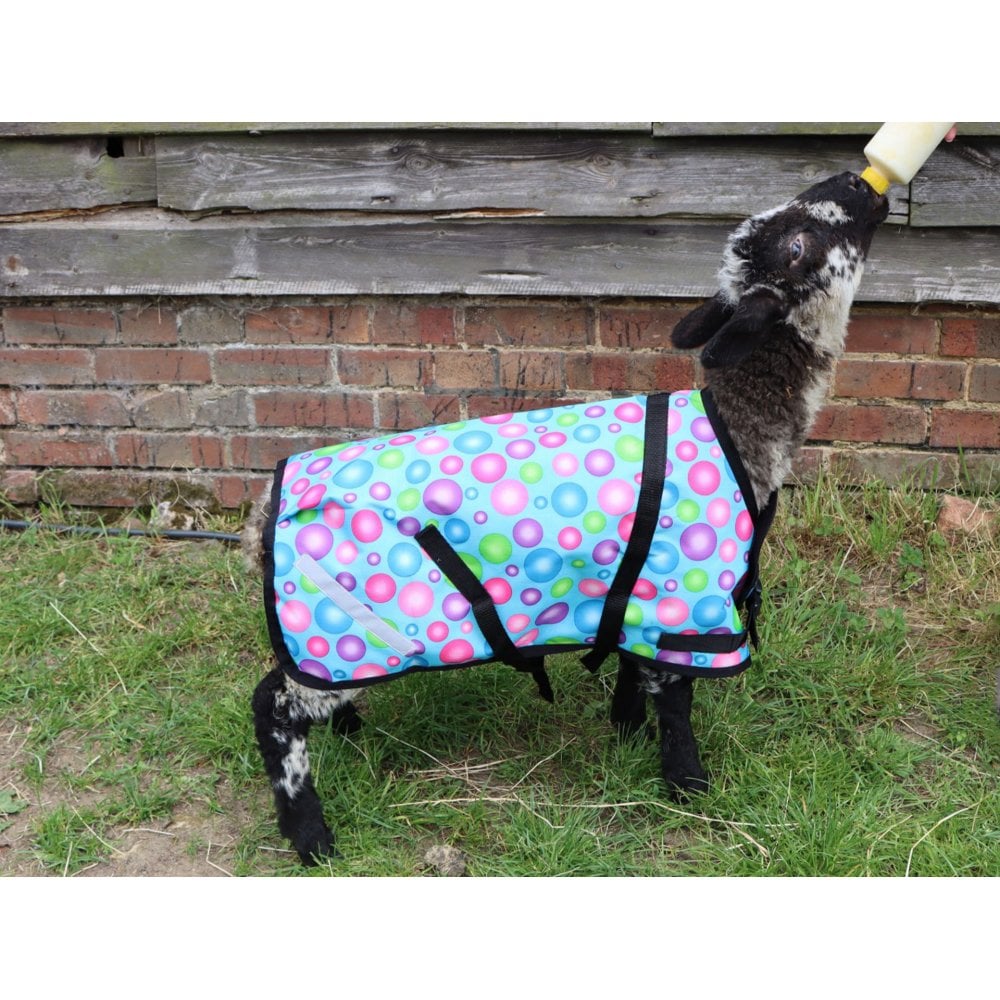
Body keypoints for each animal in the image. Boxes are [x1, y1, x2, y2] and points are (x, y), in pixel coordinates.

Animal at [249, 170, 889, 865]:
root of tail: (264, 512)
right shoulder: (689, 606)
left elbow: (637, 672)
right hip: (353, 622)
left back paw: (351, 731)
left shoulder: (643, 598)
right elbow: (678, 702)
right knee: (273, 707)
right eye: (799, 244)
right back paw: (311, 836)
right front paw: (688, 785)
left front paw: (629, 734)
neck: (742, 433)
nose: (859, 181)